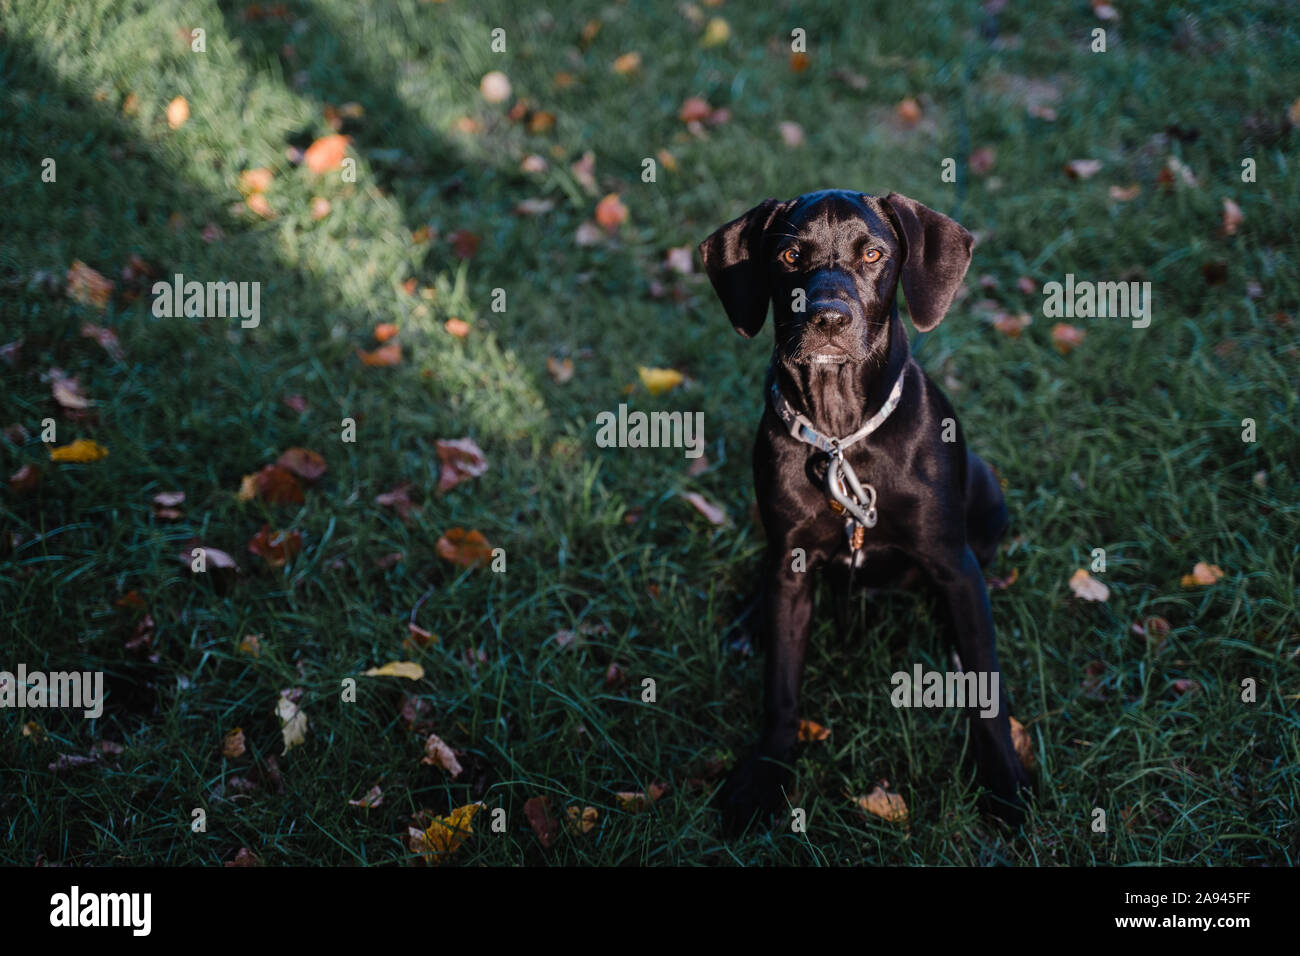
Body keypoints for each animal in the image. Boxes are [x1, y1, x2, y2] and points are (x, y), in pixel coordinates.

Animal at [702, 191, 1034, 832]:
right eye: (789, 255)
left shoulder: (953, 563)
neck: (841, 437)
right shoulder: (792, 562)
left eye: (874, 254)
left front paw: (1003, 783)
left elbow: (988, 690)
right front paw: (764, 776)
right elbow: (781, 689)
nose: (829, 318)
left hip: (985, 491)